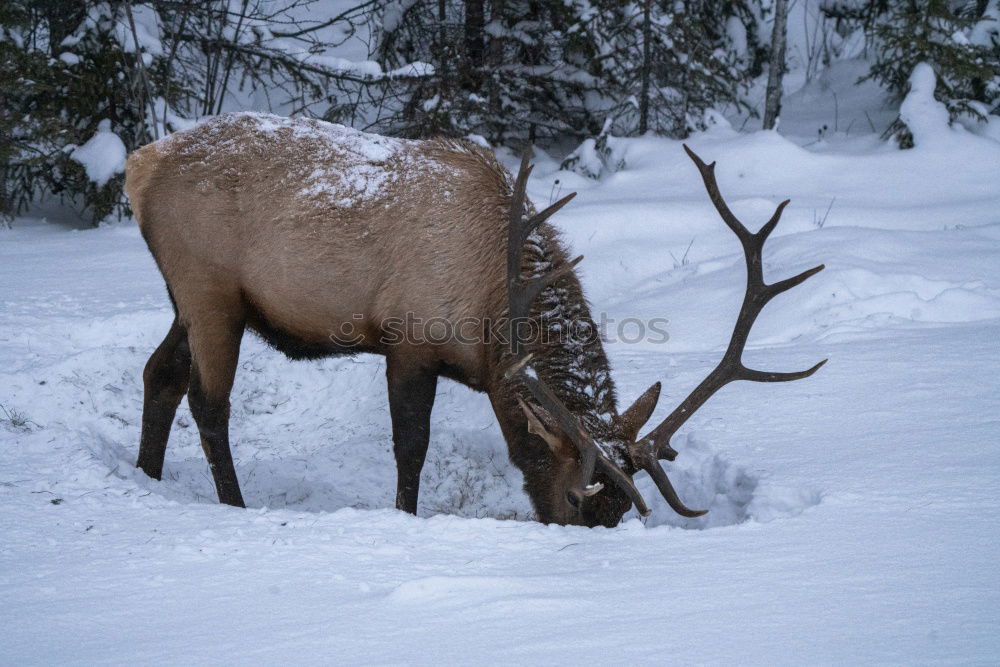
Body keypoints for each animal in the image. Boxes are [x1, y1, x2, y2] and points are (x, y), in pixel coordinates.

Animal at [125, 113, 824, 528]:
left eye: (620, 514)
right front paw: (406, 518)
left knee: (160, 372)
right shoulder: (409, 339)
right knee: (209, 402)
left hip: (189, 301)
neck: (490, 322)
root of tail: (140, 166)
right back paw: (234, 506)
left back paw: (145, 477)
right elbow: (411, 447)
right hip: (210, 292)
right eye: (576, 498)